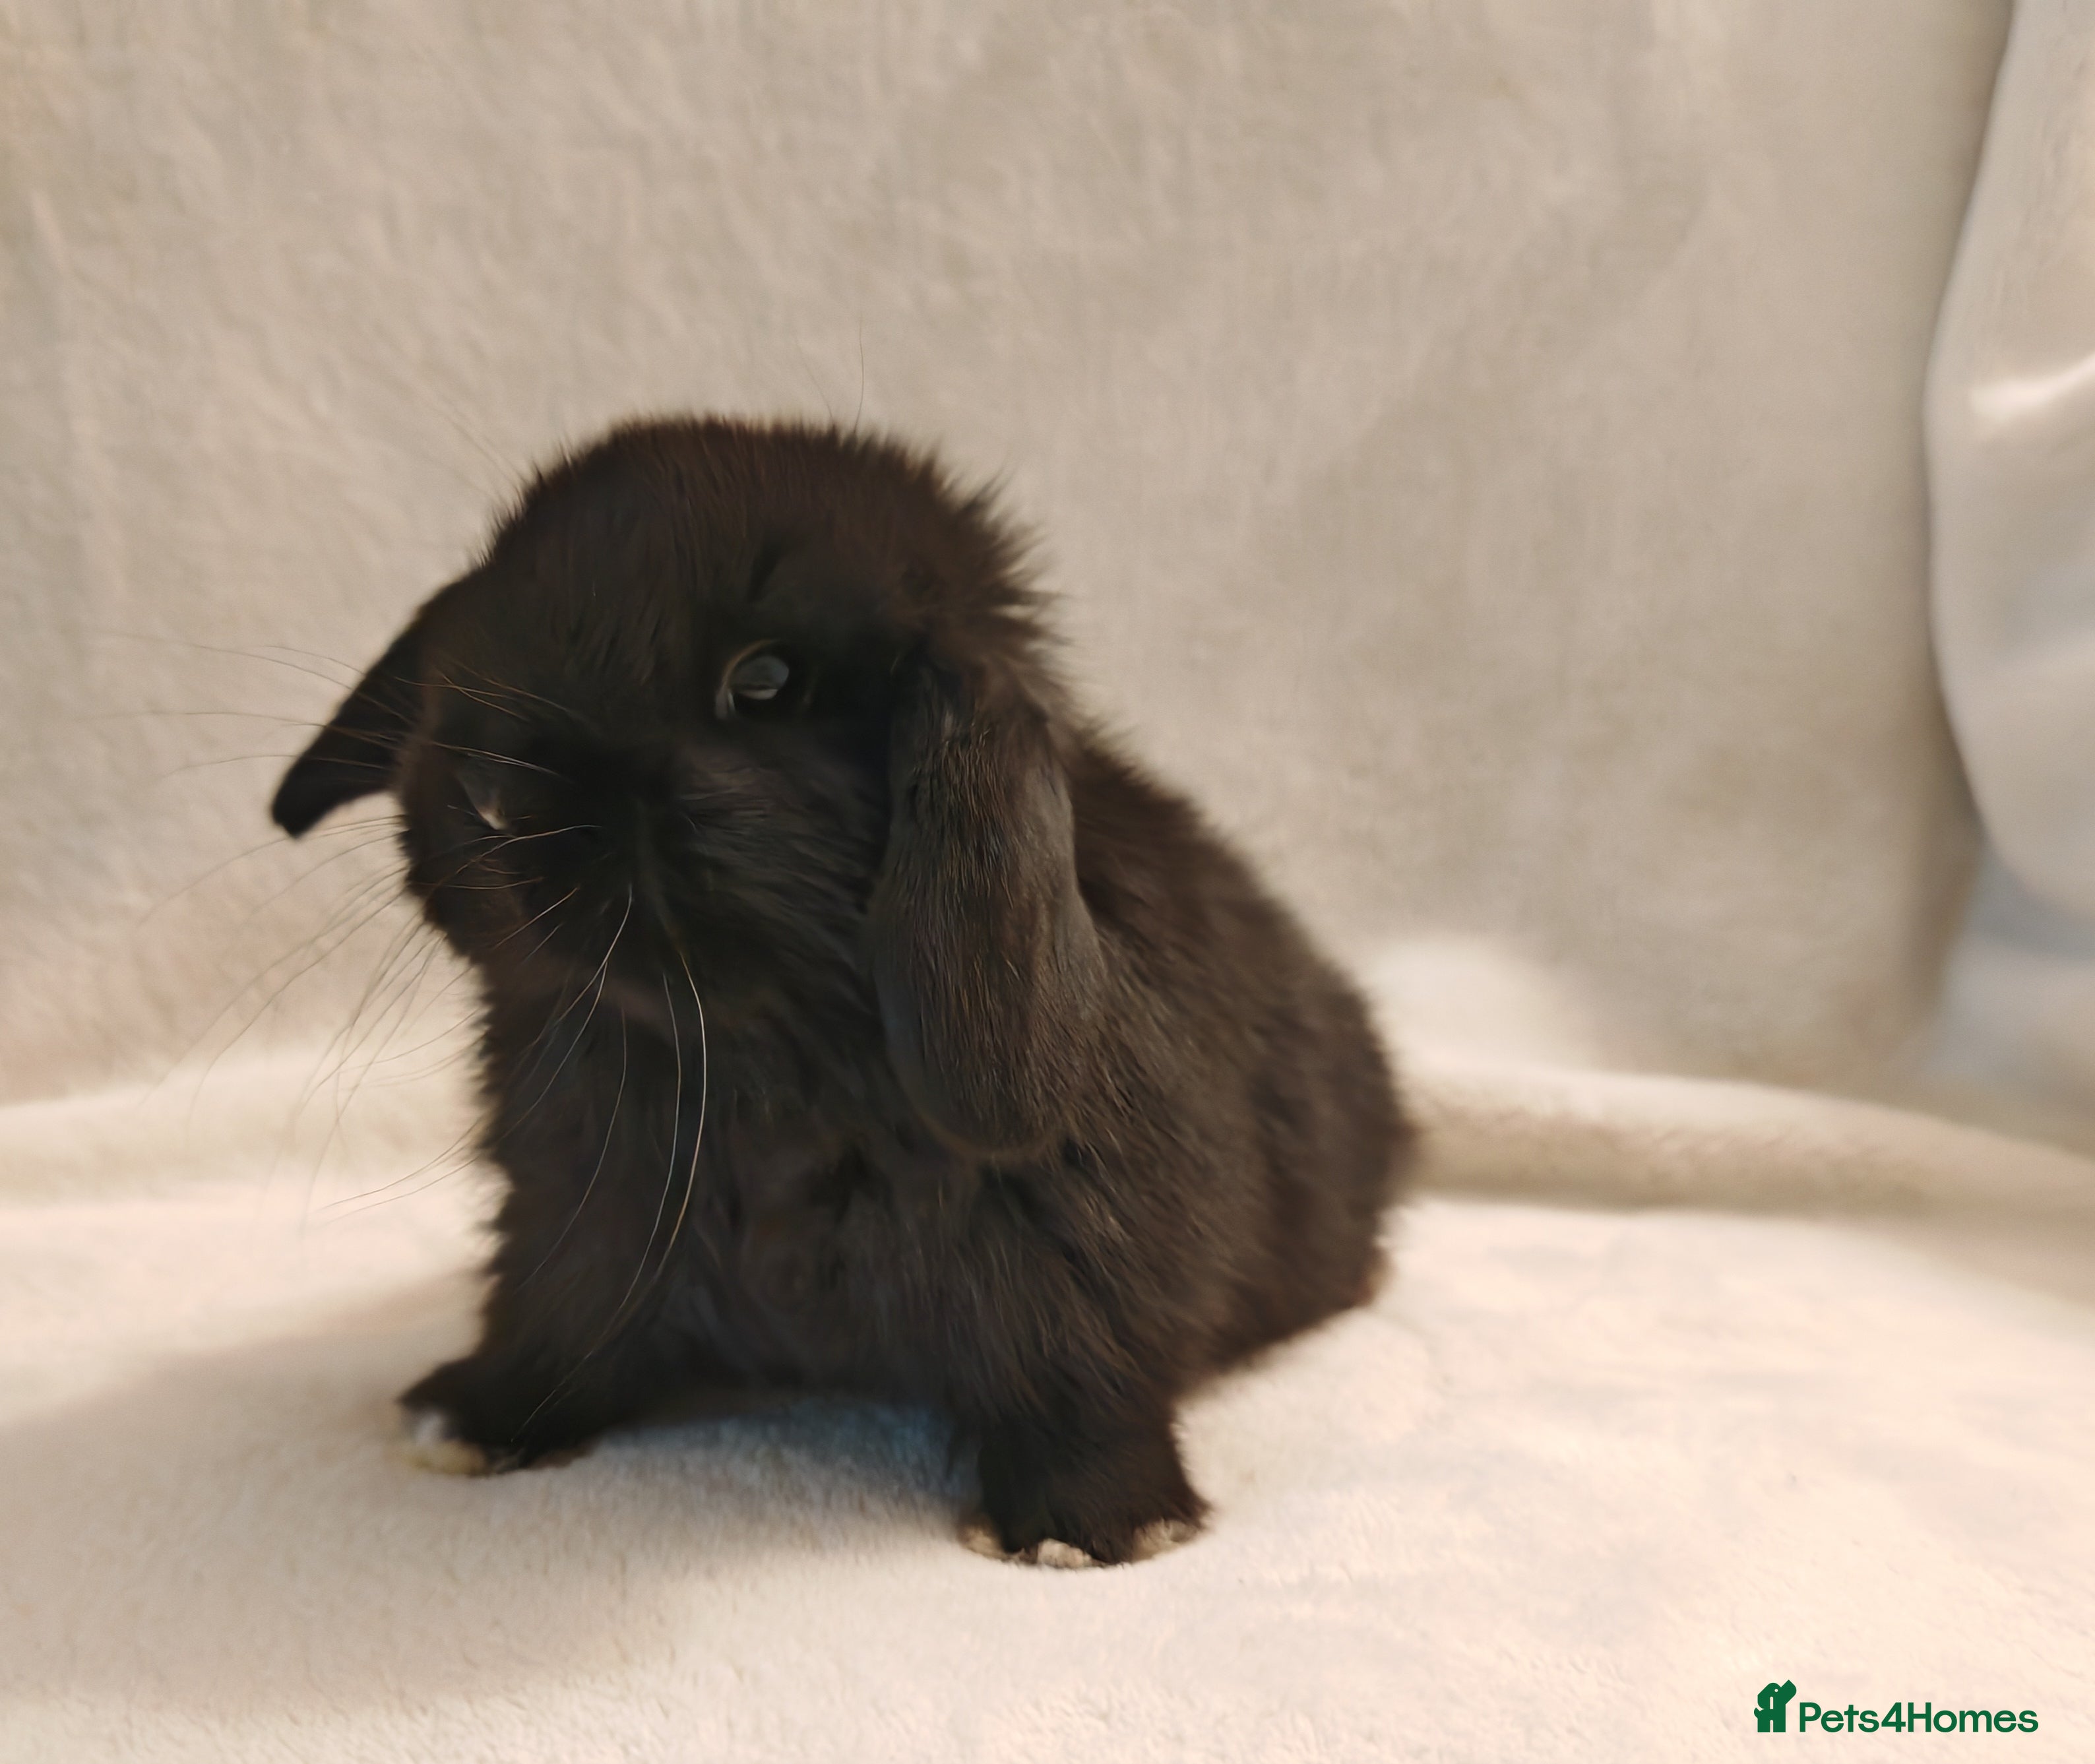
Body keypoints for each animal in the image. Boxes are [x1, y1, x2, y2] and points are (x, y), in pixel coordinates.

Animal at [272, 416, 1411, 1566]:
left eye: (767, 680)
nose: (492, 795)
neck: (744, 1043)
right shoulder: (574, 1215)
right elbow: (557, 1317)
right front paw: (467, 1418)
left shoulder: (1095, 1240)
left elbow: (1081, 1377)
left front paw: (1092, 1527)